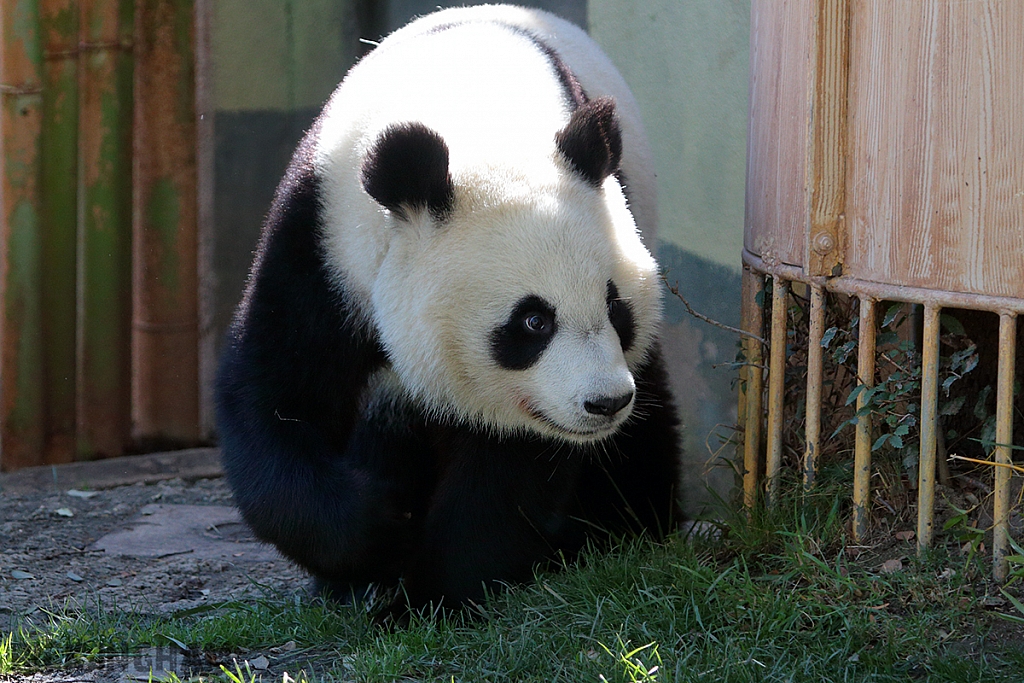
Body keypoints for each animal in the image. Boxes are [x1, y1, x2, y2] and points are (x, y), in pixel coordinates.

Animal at [215, 3, 679, 614]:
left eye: (615, 306)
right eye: (533, 321)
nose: (604, 403)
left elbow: (509, 467)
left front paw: (431, 597)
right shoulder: (322, 237)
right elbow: (274, 398)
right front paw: (379, 534)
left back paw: (625, 528)